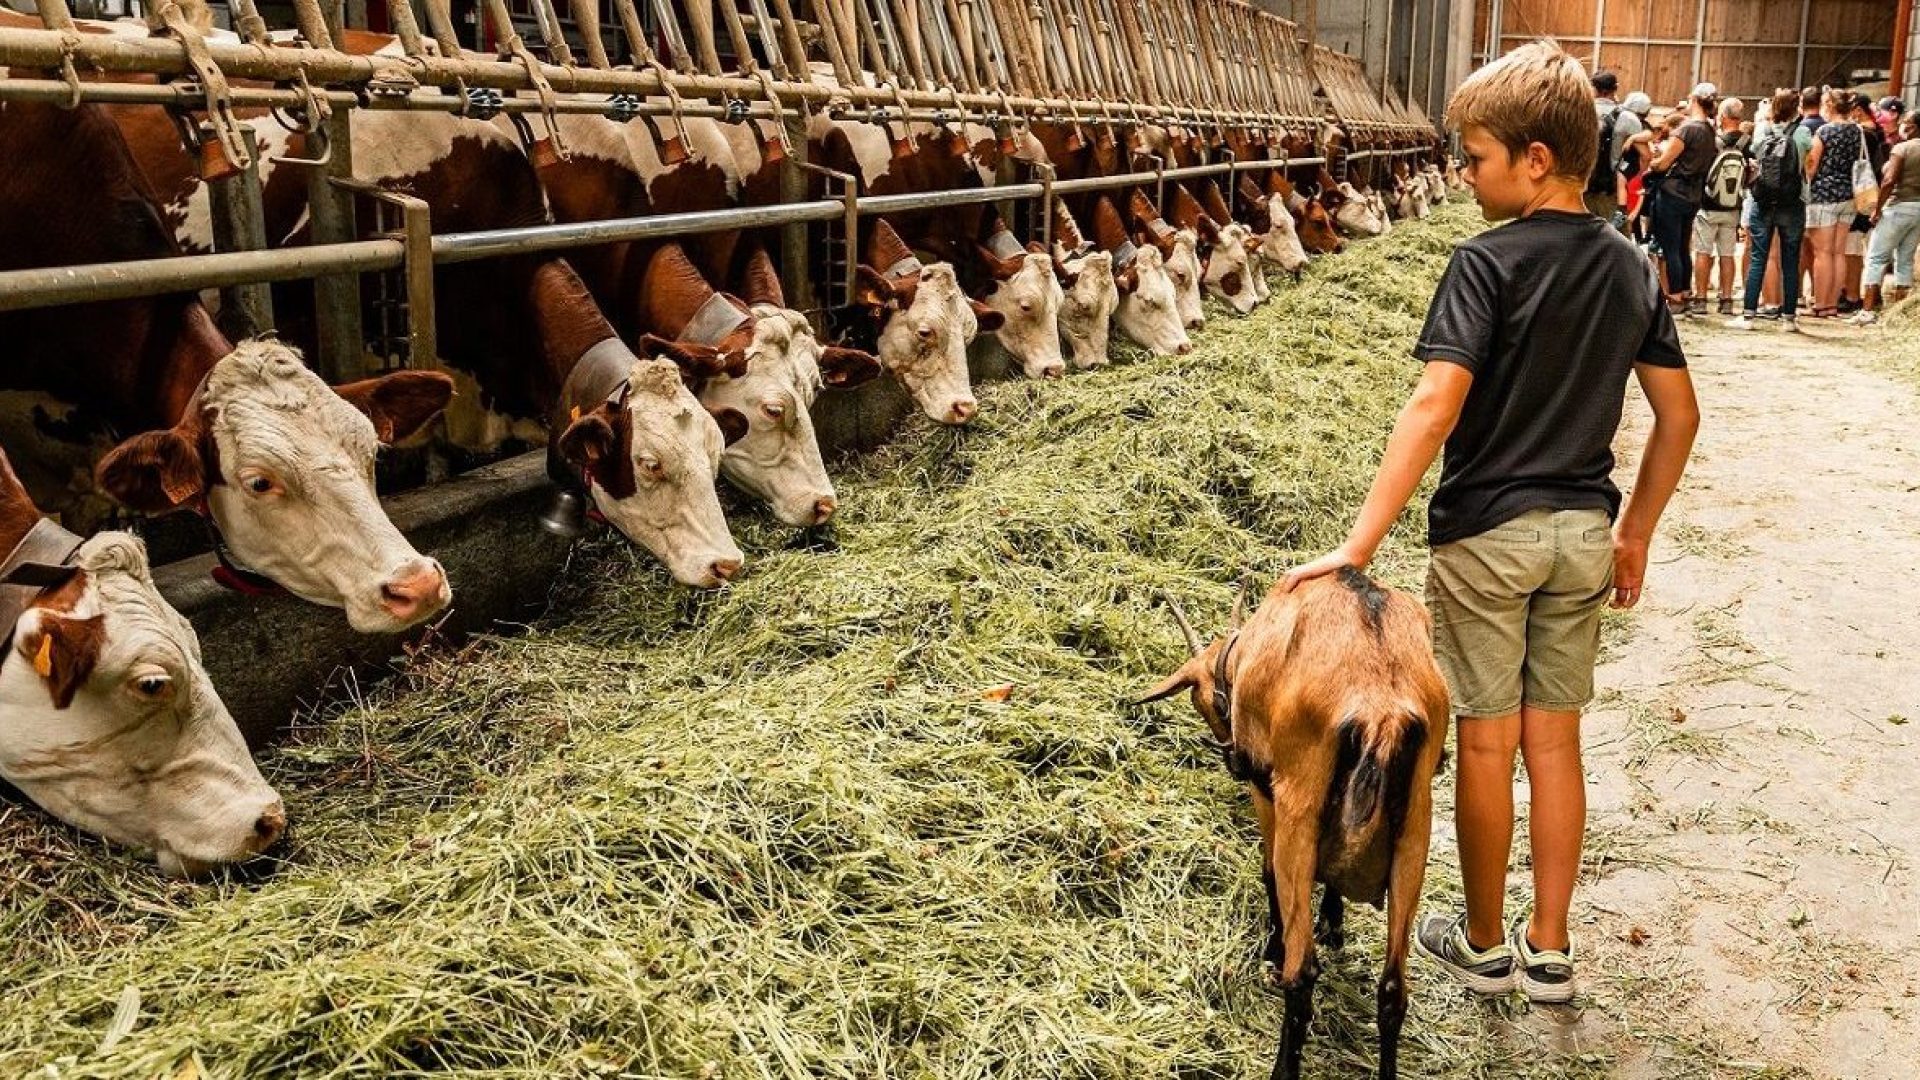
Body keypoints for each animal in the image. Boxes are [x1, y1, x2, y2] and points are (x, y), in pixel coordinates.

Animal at [1128, 564, 1443, 1076]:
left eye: (1205, 703)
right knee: (1393, 990)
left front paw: (1274, 945)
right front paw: (1334, 922)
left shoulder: (1269, 791)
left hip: (1300, 807)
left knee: (1304, 972)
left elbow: (1268, 872)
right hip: (1416, 828)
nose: (1230, 757)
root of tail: (1382, 710)